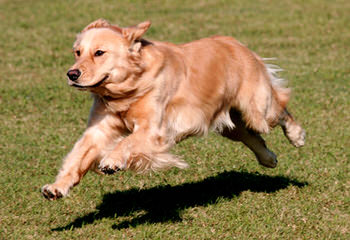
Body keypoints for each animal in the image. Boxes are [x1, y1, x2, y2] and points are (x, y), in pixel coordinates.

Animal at [41, 18, 304, 200]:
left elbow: (127, 142)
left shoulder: (153, 130)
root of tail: (237, 44)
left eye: (99, 53)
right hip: (230, 124)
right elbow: (78, 158)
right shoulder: (99, 129)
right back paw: (269, 159)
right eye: (77, 52)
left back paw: (297, 136)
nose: (72, 74)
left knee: (281, 109)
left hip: (257, 109)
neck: (128, 89)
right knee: (253, 138)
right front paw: (56, 187)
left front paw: (112, 161)